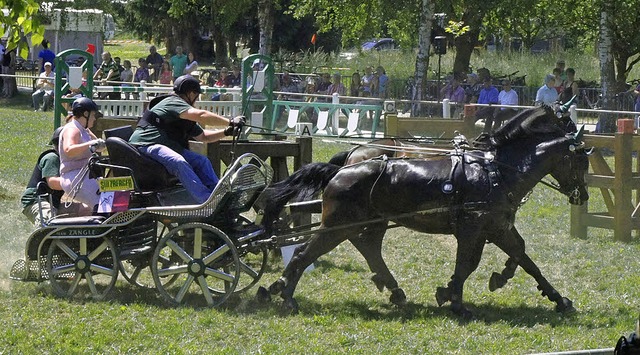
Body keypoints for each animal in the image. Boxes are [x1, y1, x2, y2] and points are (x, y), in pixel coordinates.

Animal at [260, 107, 592, 318]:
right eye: (581, 161)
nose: (583, 196)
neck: (496, 171)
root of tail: (341, 170)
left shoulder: (497, 227)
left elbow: (524, 258)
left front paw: (557, 298)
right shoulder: (473, 230)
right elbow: (467, 264)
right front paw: (457, 302)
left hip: (368, 223)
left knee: (367, 248)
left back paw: (393, 290)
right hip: (339, 226)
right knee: (304, 253)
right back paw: (285, 295)